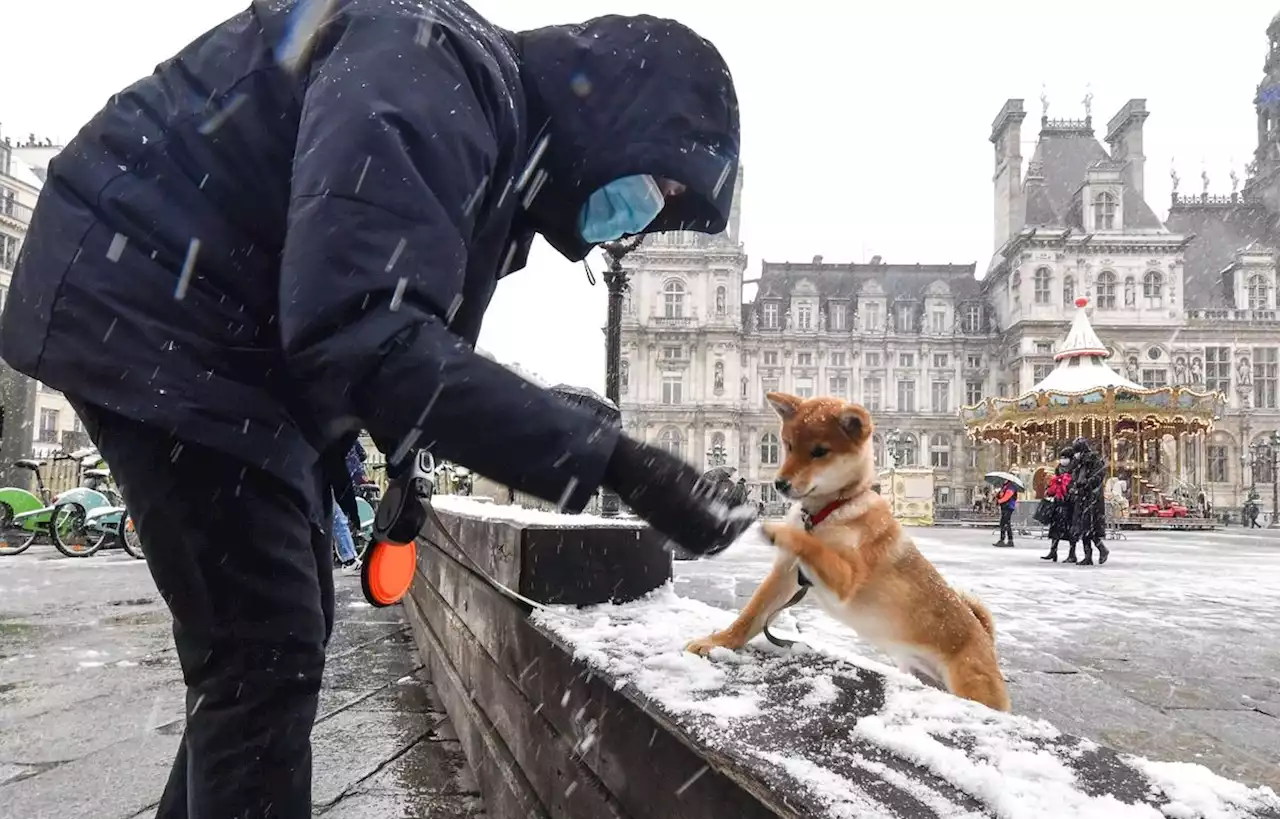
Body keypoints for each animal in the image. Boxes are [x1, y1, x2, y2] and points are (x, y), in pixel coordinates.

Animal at [686, 394, 1013, 711]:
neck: (830, 510)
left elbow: (811, 545)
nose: (778, 484)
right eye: (787, 445)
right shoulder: (786, 575)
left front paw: (777, 529)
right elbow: (750, 615)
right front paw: (718, 642)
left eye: (820, 451)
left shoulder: (846, 579)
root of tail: (985, 637)